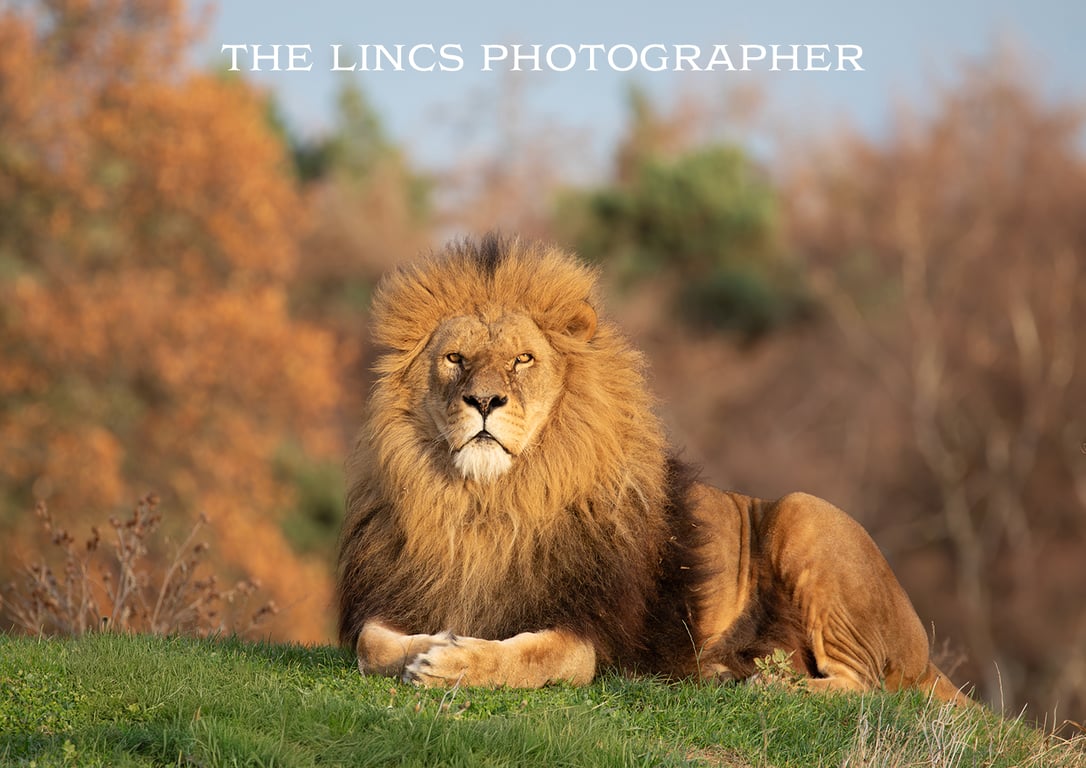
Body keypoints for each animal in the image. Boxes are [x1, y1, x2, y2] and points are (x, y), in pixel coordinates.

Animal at [336, 233, 969, 704]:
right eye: (454, 358)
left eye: (523, 359)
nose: (484, 401)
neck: (490, 501)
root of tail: (925, 654)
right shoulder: (391, 597)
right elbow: (371, 644)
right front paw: (432, 643)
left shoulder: (598, 635)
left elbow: (541, 656)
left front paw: (454, 661)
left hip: (804, 512)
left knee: (864, 685)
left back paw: (764, 685)